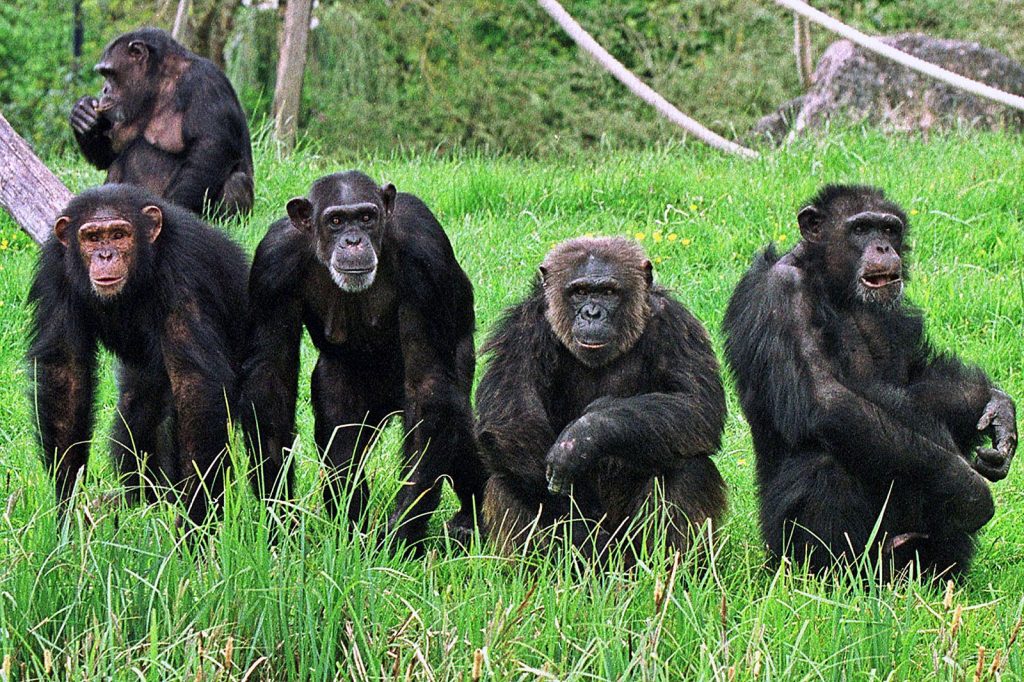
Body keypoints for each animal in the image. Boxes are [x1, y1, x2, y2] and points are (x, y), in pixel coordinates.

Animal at [28, 184, 249, 524]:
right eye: (92, 237)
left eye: (119, 234)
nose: (106, 255)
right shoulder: (55, 270)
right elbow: (65, 374)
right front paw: (67, 508)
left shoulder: (184, 270)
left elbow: (195, 384)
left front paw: (197, 518)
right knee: (138, 411)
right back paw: (143, 503)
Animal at [69, 28, 251, 218]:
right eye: (104, 74)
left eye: (110, 73)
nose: (104, 89)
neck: (157, 82)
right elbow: (108, 156)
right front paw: (83, 113)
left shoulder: (206, 82)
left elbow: (212, 146)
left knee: (236, 182)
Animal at [240, 169, 483, 552]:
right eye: (336, 221)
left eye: (367, 217)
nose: (353, 240)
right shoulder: (271, 266)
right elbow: (269, 380)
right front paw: (280, 519)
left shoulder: (425, 254)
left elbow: (429, 389)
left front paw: (400, 534)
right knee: (340, 443)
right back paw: (351, 531)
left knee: (454, 424)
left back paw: (473, 519)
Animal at [475, 236, 724, 561]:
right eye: (580, 292)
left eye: (607, 292)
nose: (592, 313)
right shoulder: (522, 330)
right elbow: (513, 418)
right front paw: (577, 531)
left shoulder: (675, 324)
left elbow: (697, 405)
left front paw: (584, 436)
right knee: (506, 479)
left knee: (689, 467)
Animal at [724, 183, 1019, 577]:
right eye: (861, 228)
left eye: (889, 229)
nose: (883, 247)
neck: (833, 285)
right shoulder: (781, 292)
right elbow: (825, 396)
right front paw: (966, 486)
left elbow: (915, 384)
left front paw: (997, 406)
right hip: (784, 548)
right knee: (825, 464)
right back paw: (829, 576)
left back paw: (941, 577)